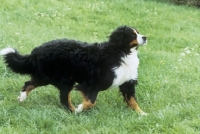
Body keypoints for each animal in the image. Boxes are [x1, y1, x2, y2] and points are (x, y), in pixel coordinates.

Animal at [0, 25, 147, 115]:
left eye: (138, 32)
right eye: (132, 34)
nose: (145, 37)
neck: (122, 52)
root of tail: (36, 52)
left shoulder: (128, 82)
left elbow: (132, 101)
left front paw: (141, 113)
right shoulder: (92, 83)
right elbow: (90, 102)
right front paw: (80, 108)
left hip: (47, 77)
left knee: (29, 83)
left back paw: (21, 97)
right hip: (63, 79)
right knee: (64, 98)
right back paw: (72, 111)